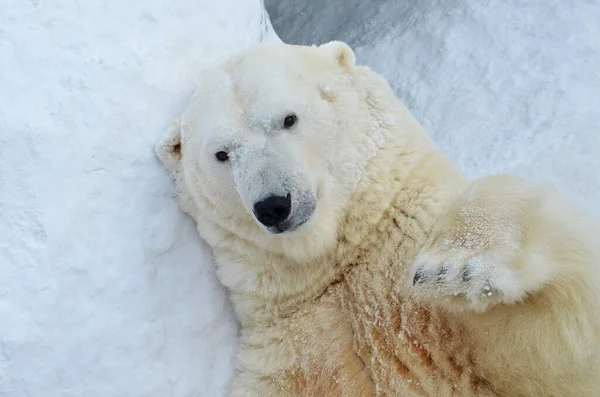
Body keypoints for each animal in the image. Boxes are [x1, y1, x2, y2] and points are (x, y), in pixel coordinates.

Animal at [155, 41, 600, 394]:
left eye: (288, 118)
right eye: (222, 154)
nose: (274, 205)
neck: (341, 262)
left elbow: (558, 345)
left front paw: (456, 268)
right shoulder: (288, 352)